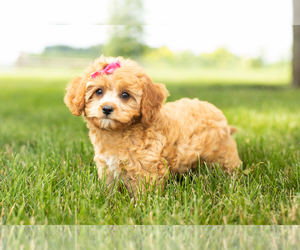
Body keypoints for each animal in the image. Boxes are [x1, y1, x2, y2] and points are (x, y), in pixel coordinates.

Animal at [63, 55, 241, 194]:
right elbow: (109, 187)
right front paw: (107, 198)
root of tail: (216, 112)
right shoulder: (107, 165)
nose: (107, 108)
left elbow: (144, 193)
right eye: (98, 91)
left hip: (223, 154)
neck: (118, 133)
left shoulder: (147, 166)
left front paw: (140, 206)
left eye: (125, 95)